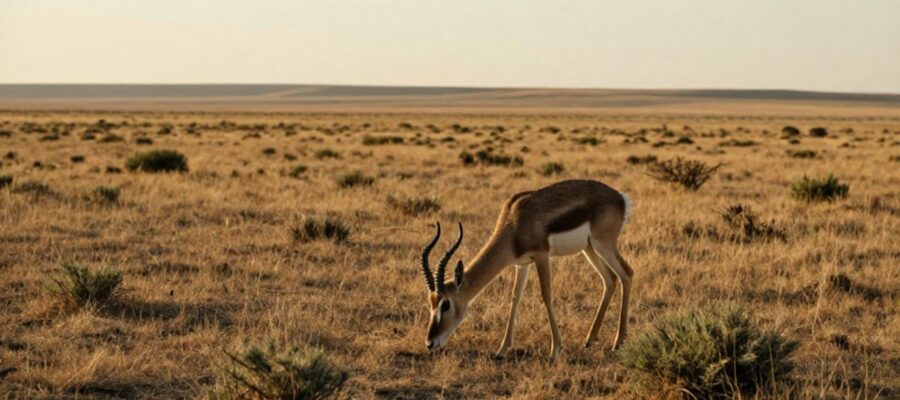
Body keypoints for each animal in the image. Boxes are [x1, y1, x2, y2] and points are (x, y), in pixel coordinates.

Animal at [419, 179, 633, 360]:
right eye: (431, 303)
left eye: (446, 304)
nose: (430, 343)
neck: (515, 223)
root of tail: (620, 197)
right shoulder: (522, 264)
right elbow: (516, 298)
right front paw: (502, 350)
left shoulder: (542, 256)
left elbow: (546, 295)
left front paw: (555, 349)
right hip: (589, 248)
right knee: (610, 279)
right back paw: (589, 340)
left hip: (603, 244)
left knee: (626, 274)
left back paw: (618, 342)